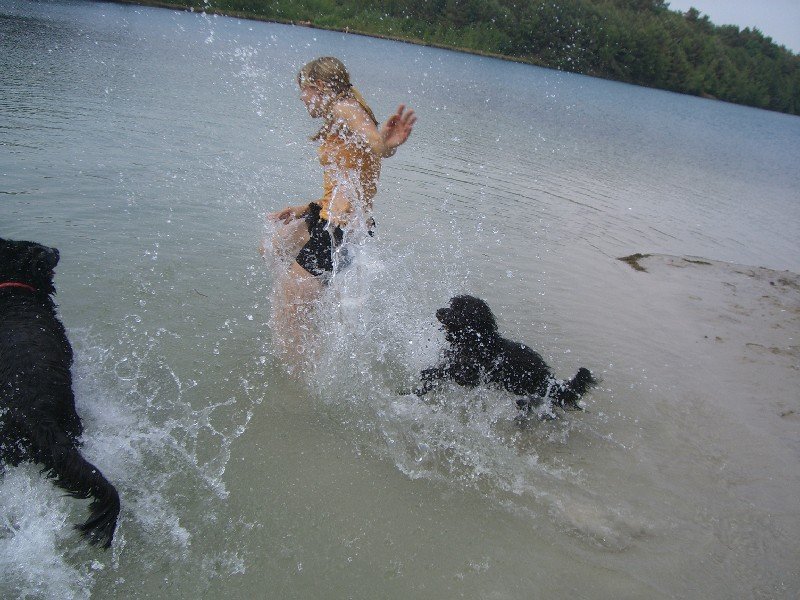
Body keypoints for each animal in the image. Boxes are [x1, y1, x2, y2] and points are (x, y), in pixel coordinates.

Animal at [415, 295, 597, 416]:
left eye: (460, 310)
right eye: (452, 305)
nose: (439, 311)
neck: (478, 342)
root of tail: (547, 377)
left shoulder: (471, 374)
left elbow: (446, 372)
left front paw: (427, 373)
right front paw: (420, 388)